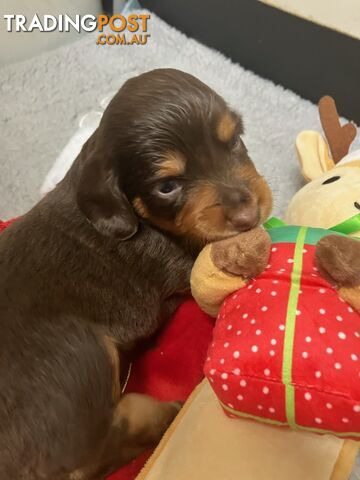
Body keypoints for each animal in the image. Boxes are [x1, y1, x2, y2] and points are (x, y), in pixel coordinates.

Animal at [0, 68, 272, 480]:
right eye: (167, 186)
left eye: (235, 140)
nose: (248, 216)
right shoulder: (178, 265)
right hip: (78, 349)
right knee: (93, 450)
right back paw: (160, 414)